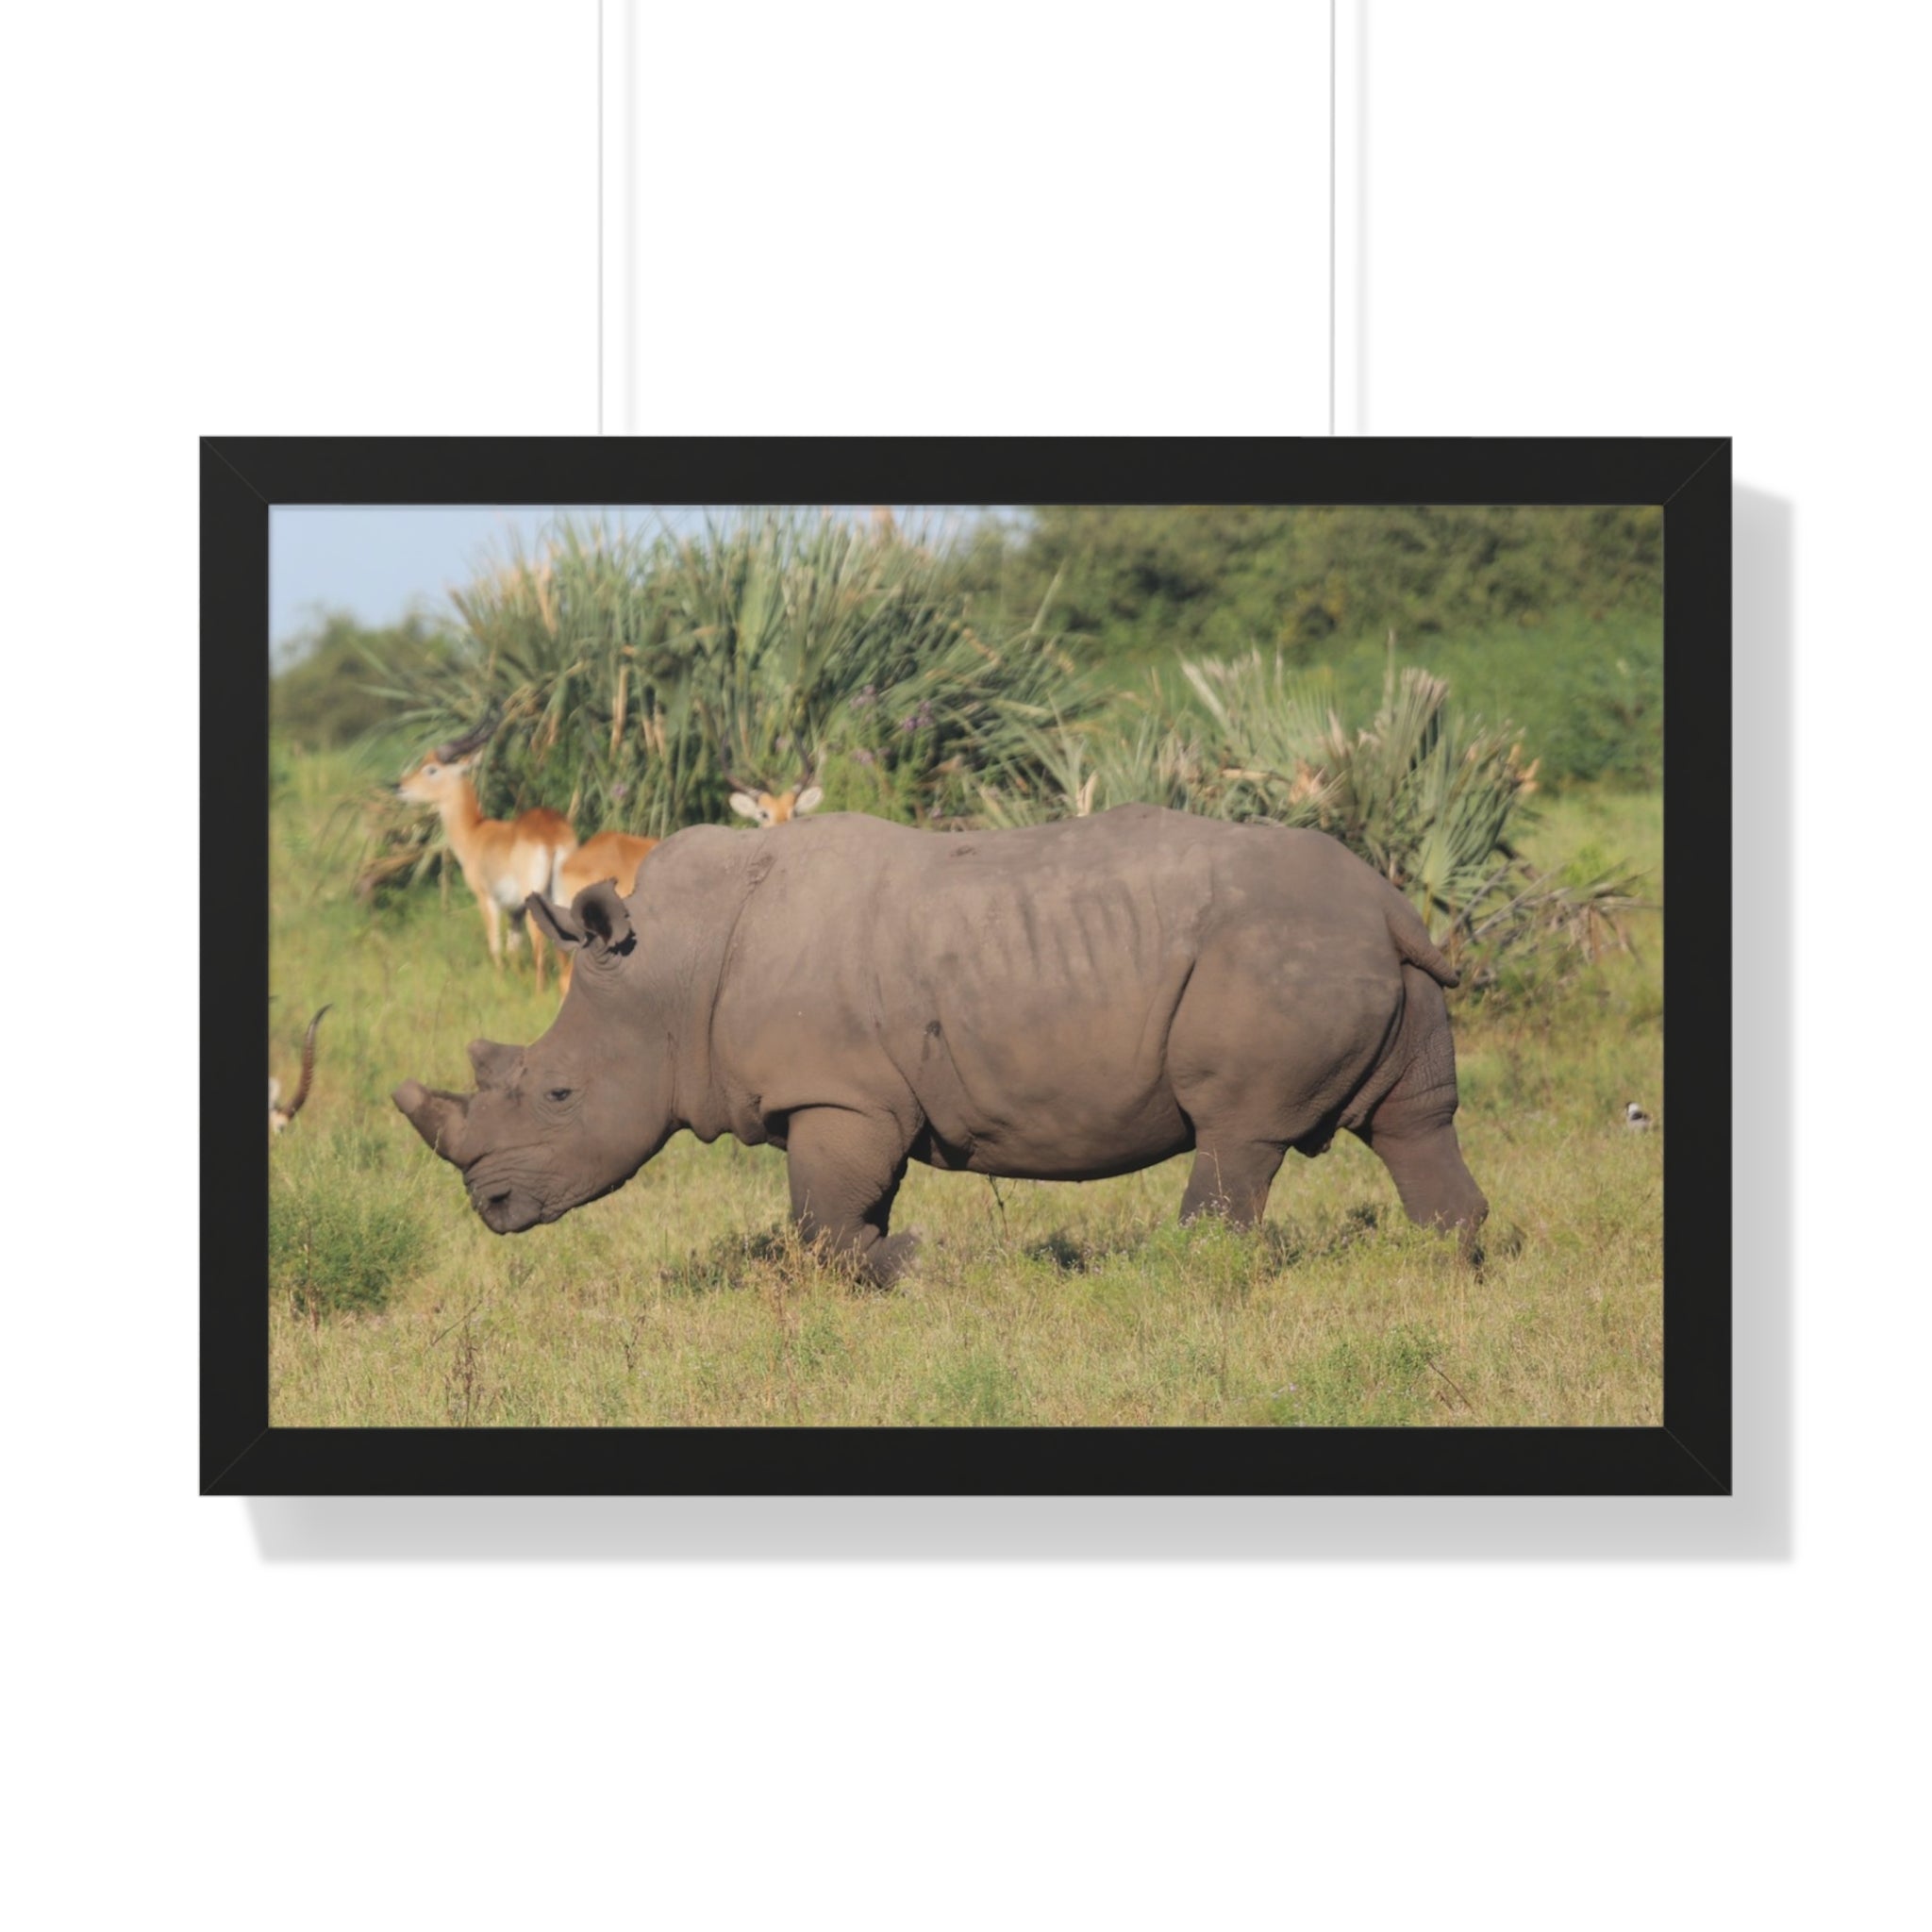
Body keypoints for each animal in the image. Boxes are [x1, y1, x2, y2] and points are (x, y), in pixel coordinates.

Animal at [394, 806, 1487, 1282]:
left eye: (558, 1096)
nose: (490, 1207)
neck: (671, 970)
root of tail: (1390, 904)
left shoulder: (836, 1092)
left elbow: (820, 1219)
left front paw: (915, 1263)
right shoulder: (852, 1097)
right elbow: (842, 1212)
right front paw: (895, 1265)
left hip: (1275, 954)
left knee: (1238, 1130)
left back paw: (1184, 1282)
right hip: (1359, 954)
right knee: (1413, 1121)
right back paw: (1447, 1270)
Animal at [397, 712, 579, 992]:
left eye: (432, 768)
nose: (400, 786)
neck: (475, 832)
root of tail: (551, 836)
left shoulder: (488, 899)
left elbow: (496, 946)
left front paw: (501, 984)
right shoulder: (515, 911)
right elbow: (514, 949)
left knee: (540, 945)